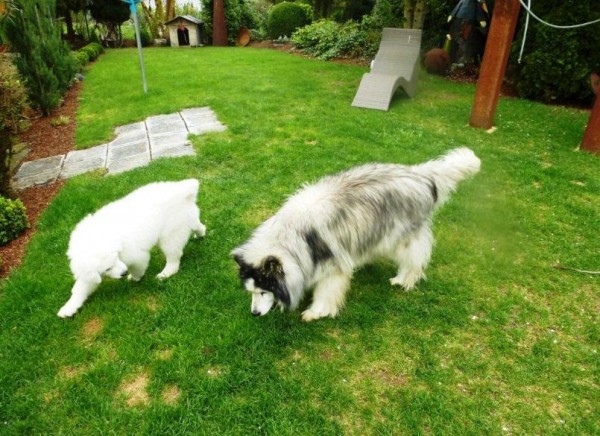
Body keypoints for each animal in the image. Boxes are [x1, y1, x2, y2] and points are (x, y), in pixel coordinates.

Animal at [57, 179, 206, 318]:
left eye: (116, 257)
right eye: (107, 269)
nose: (124, 273)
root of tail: (182, 190)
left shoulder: (136, 255)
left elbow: (137, 267)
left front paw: (135, 278)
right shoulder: (88, 273)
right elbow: (79, 289)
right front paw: (68, 309)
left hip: (170, 235)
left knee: (174, 258)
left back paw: (165, 273)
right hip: (188, 220)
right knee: (199, 226)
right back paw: (201, 234)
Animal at [232, 148, 480, 322]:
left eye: (264, 291)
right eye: (252, 291)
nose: (254, 314)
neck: (290, 239)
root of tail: (421, 174)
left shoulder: (333, 270)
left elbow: (325, 294)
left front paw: (316, 312)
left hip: (402, 238)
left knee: (415, 260)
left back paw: (404, 280)